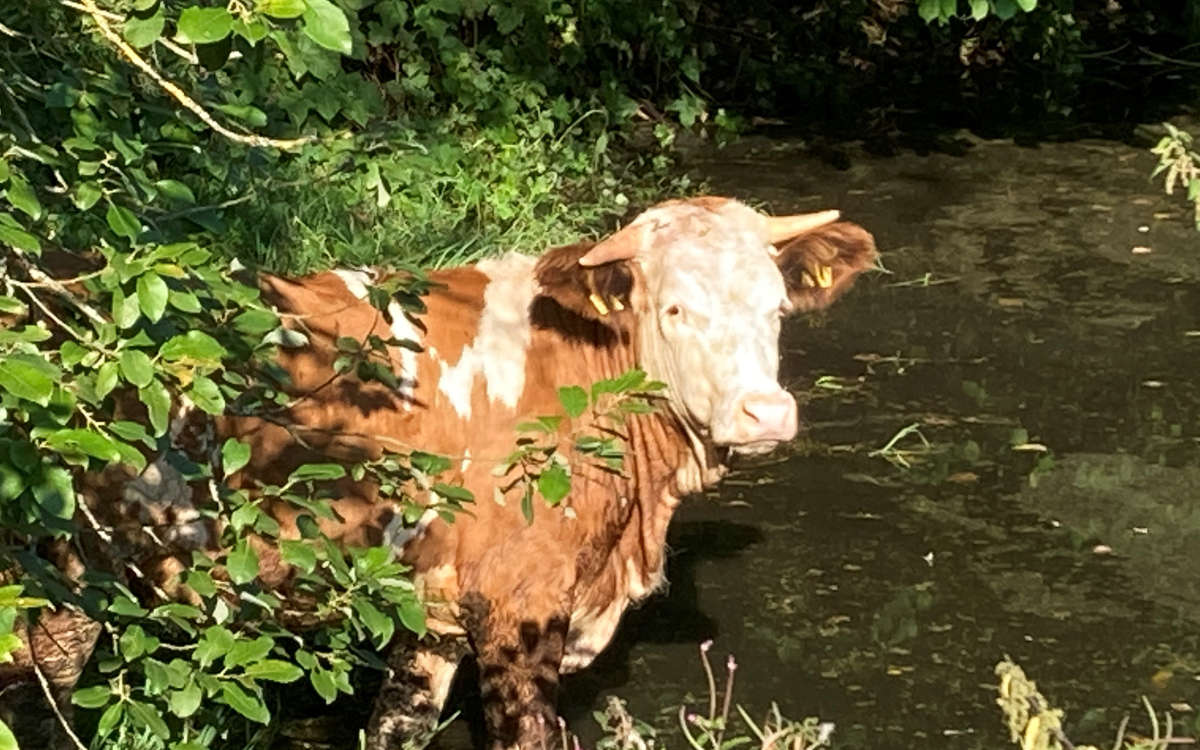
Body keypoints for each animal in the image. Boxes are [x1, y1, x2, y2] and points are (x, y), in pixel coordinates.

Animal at [0, 194, 873, 748]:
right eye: (675, 309)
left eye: (776, 309)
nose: (765, 413)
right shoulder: (521, 610)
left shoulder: (436, 614)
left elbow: (397, 727)